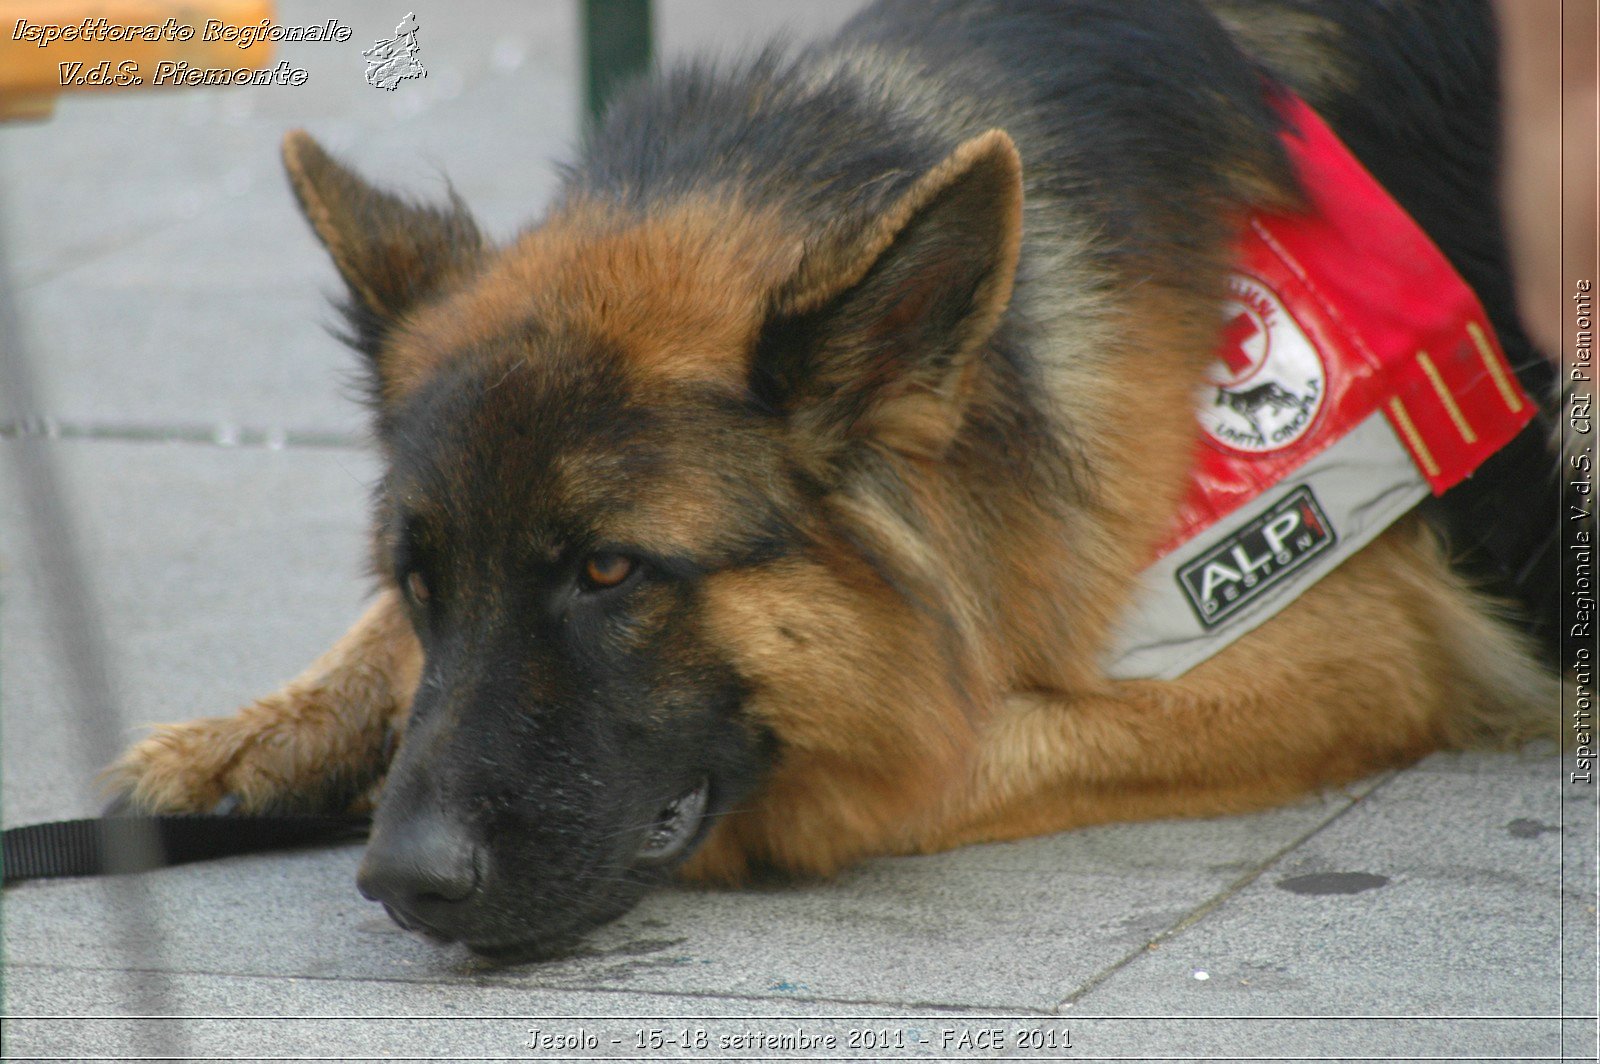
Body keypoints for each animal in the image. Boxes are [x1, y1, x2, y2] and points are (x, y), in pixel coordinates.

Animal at [103, 0, 1561, 960]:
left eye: (610, 569)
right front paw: (266, 727)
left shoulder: (1354, 647)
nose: (401, 881)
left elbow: (916, 754)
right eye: (418, 581)